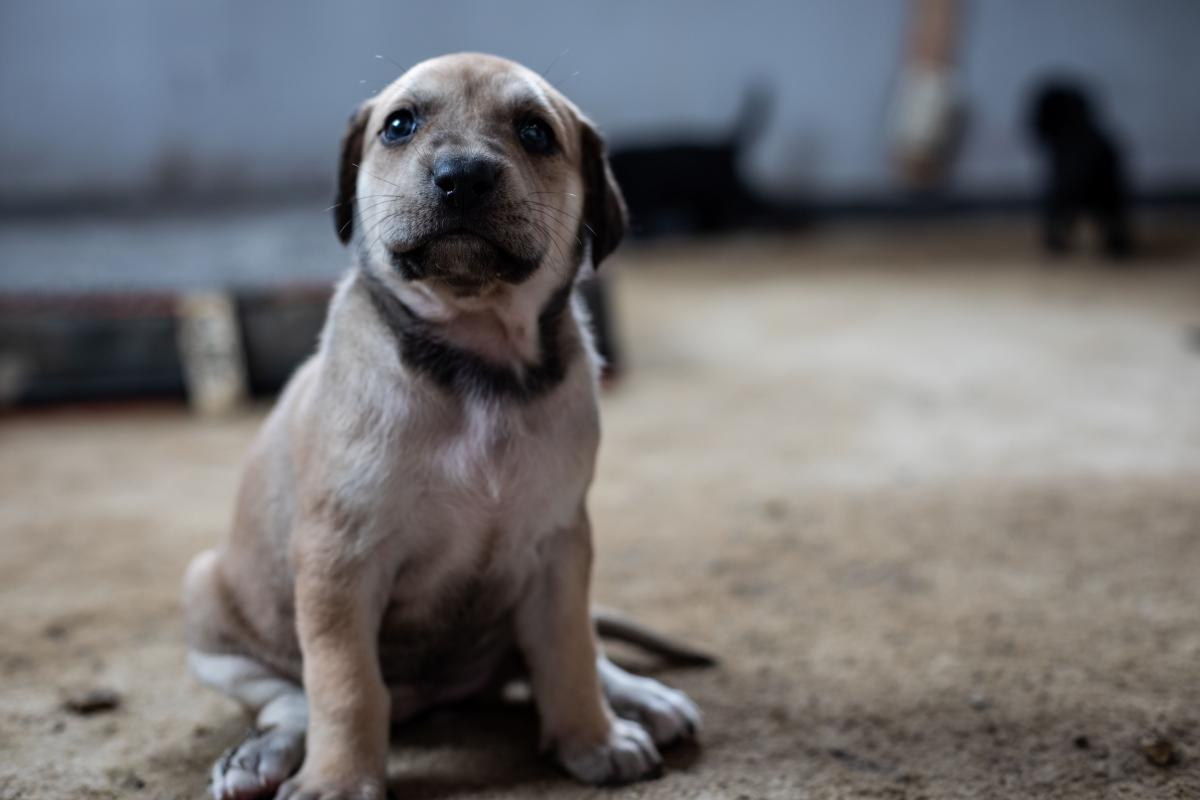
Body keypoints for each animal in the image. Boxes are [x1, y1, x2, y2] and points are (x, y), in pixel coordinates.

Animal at [180, 51, 700, 800]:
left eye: (536, 133)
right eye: (399, 125)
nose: (464, 176)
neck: (477, 359)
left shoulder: (558, 546)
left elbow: (570, 651)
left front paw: (591, 737)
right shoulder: (340, 561)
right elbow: (345, 686)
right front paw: (338, 781)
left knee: (571, 650)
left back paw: (638, 698)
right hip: (209, 603)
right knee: (287, 697)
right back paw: (261, 757)